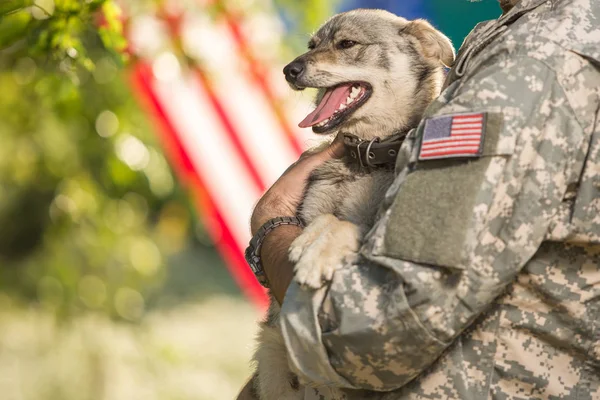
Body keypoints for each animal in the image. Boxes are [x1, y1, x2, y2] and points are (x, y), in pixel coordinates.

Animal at [250, 9, 454, 400]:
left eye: (347, 43)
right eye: (311, 45)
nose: (289, 70)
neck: (366, 157)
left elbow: (348, 225)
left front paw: (320, 251)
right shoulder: (311, 208)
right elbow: (323, 218)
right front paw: (312, 241)